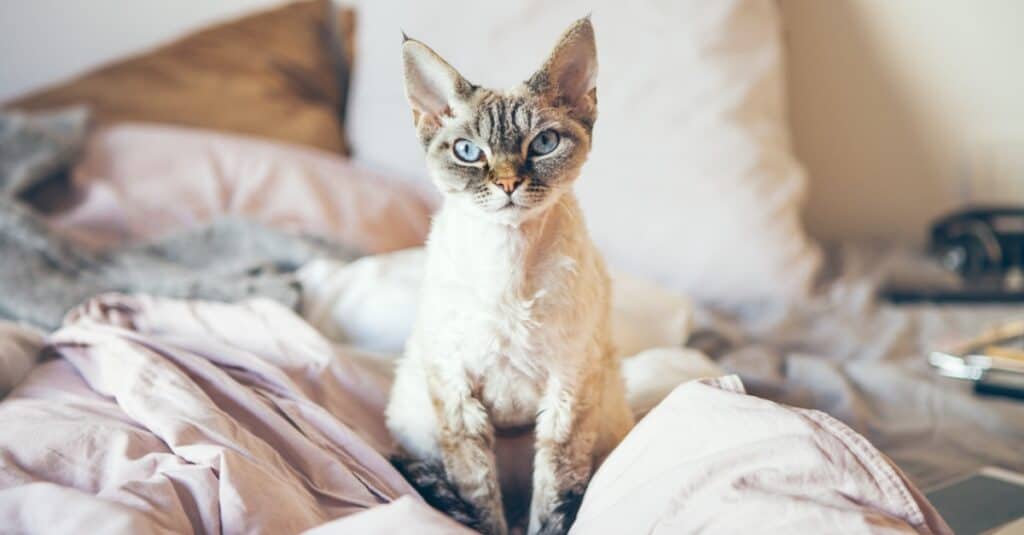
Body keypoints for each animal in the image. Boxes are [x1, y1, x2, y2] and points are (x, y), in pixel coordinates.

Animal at [385, 16, 630, 532]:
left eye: (543, 144)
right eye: (467, 151)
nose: (507, 183)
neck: (508, 259)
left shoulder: (567, 392)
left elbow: (554, 499)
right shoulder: (456, 393)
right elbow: (480, 499)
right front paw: (486, 521)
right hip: (416, 411)